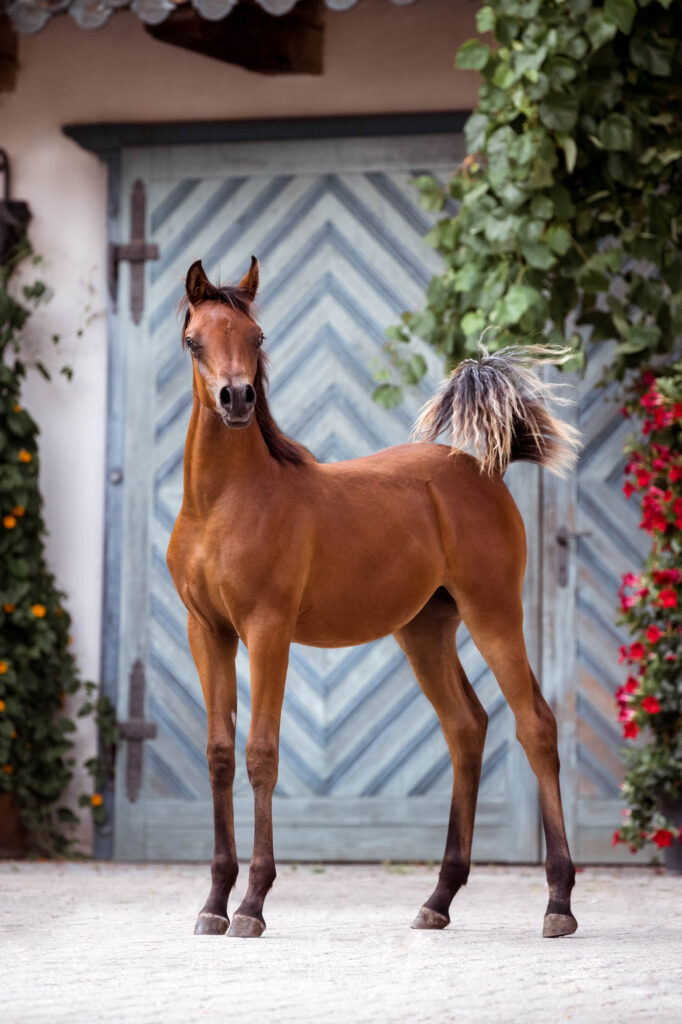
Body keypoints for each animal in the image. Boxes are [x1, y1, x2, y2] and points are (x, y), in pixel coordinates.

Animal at [166, 257, 581, 940]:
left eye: (257, 337)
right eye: (194, 340)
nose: (237, 399)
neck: (223, 503)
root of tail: (483, 468)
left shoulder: (267, 630)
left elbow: (260, 754)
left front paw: (251, 905)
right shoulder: (208, 631)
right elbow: (219, 755)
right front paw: (212, 904)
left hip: (494, 614)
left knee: (536, 728)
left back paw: (558, 903)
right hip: (425, 630)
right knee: (466, 727)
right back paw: (438, 898)